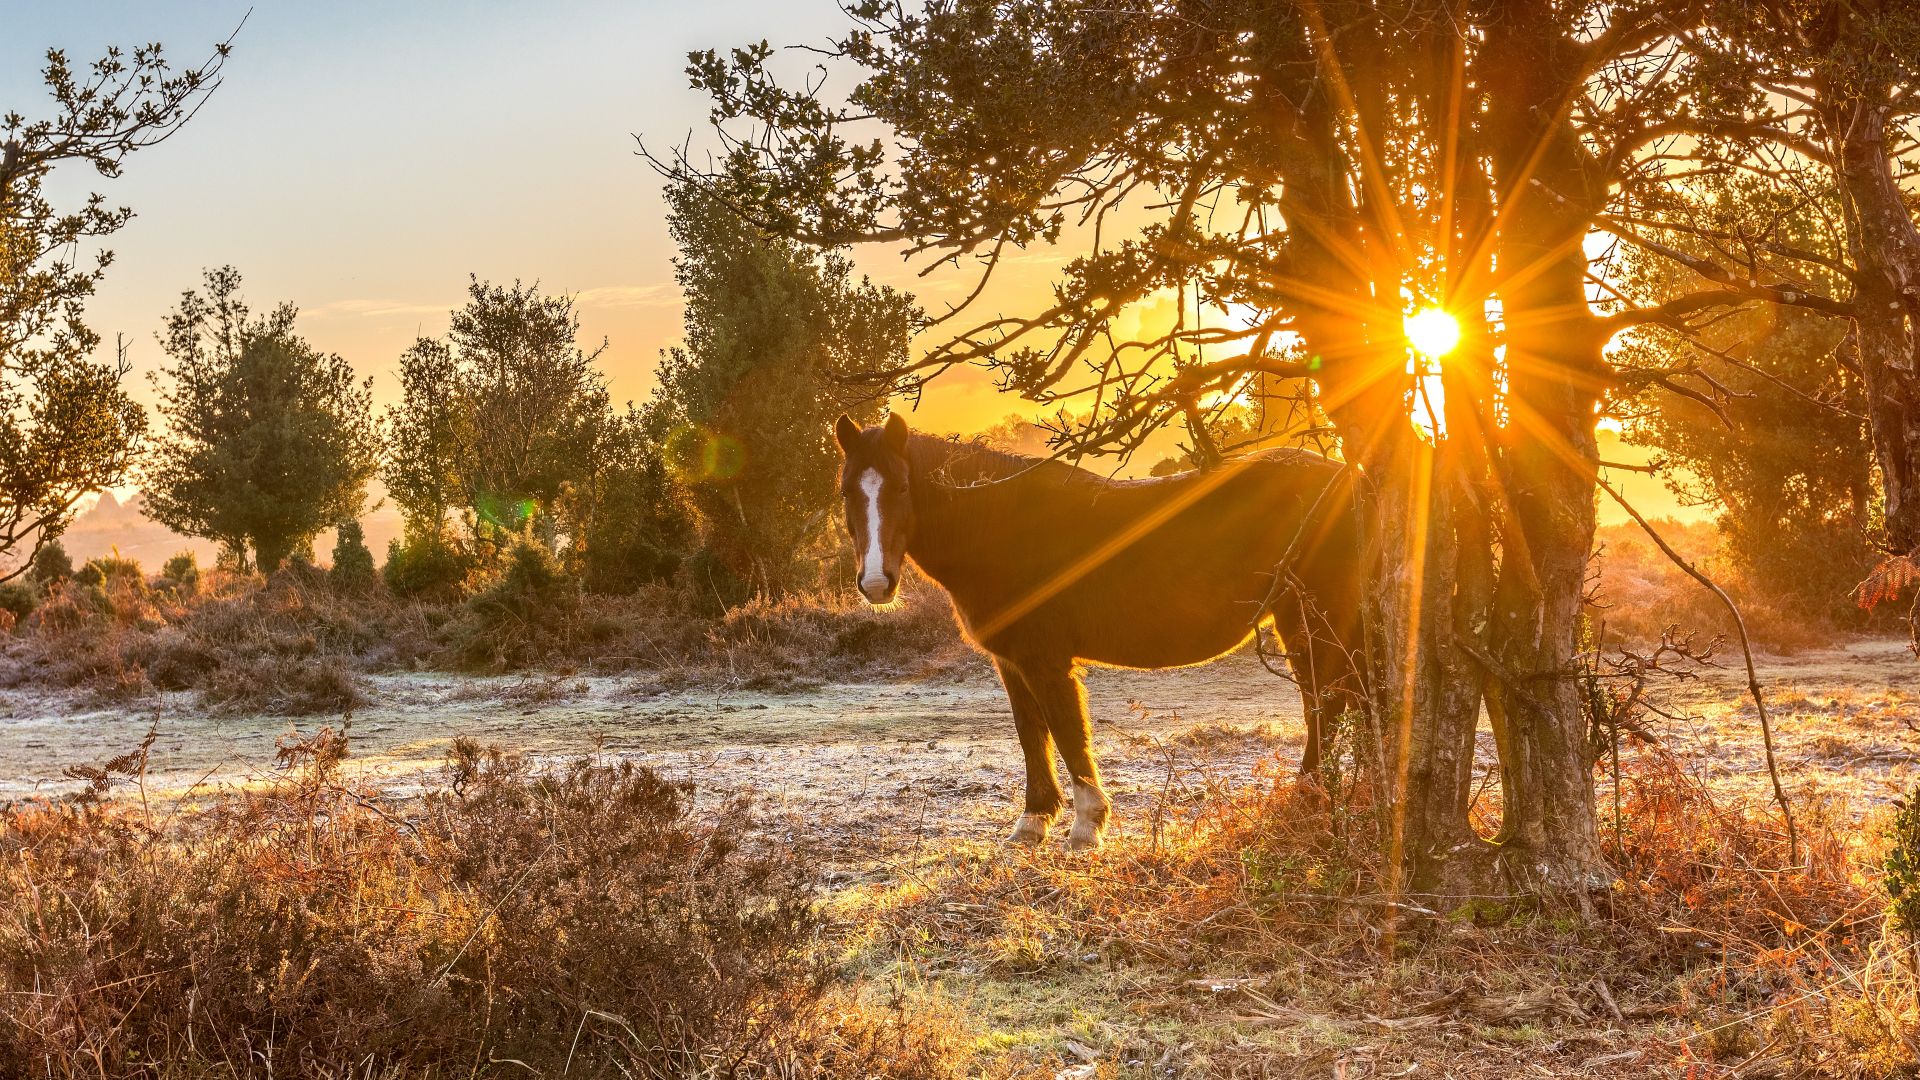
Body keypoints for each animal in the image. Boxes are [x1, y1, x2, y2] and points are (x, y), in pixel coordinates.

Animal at [834, 411, 1366, 851]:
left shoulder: (1046, 661)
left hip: (1308, 621)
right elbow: (1032, 734)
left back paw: (1307, 796)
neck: (1003, 528)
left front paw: (1087, 825)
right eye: (846, 492)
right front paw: (1033, 820)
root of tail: (1350, 481)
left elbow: (1068, 732)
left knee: (1325, 703)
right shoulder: (1011, 662)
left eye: (903, 487)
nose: (877, 583)